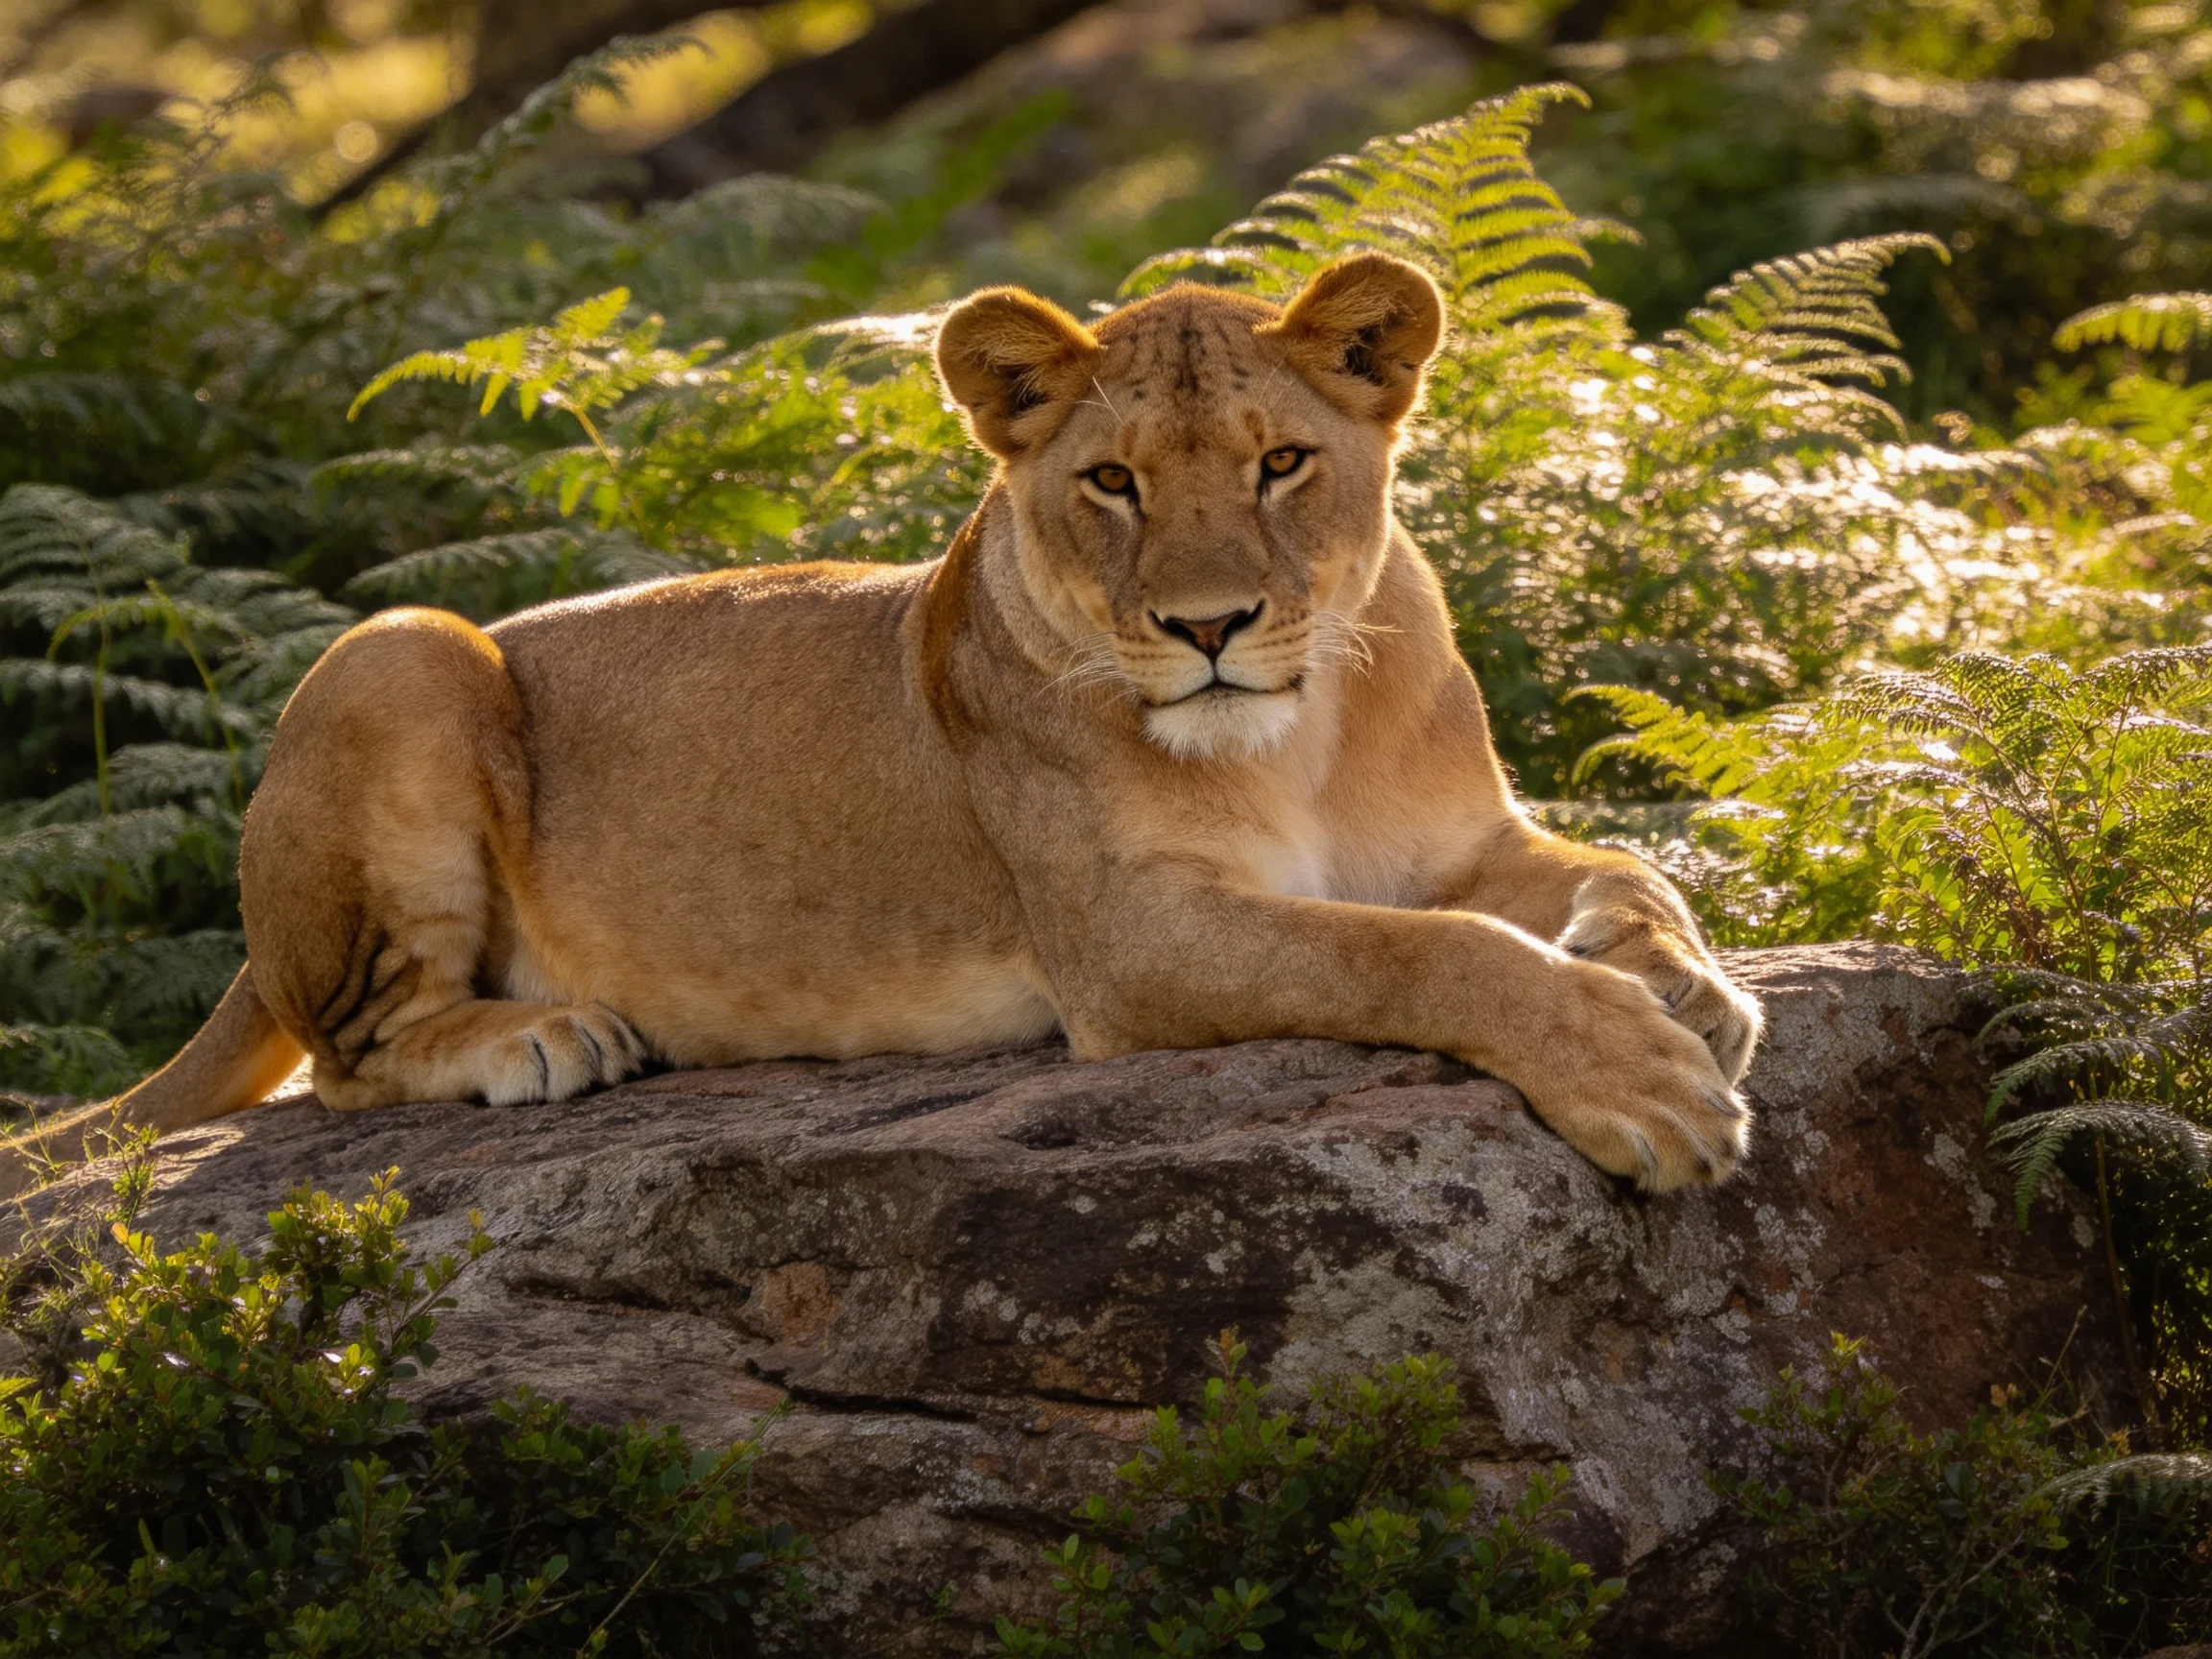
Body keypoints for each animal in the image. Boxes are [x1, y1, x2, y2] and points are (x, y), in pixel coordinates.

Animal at [3, 252, 1761, 1198]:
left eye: (1280, 463)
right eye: (1110, 481)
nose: (1205, 629)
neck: (1304, 730)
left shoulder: (1471, 836)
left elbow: (1623, 872)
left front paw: (1684, 980)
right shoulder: (1123, 944)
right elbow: (1421, 954)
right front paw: (1643, 1076)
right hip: (401, 648)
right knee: (345, 1063)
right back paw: (541, 1037)